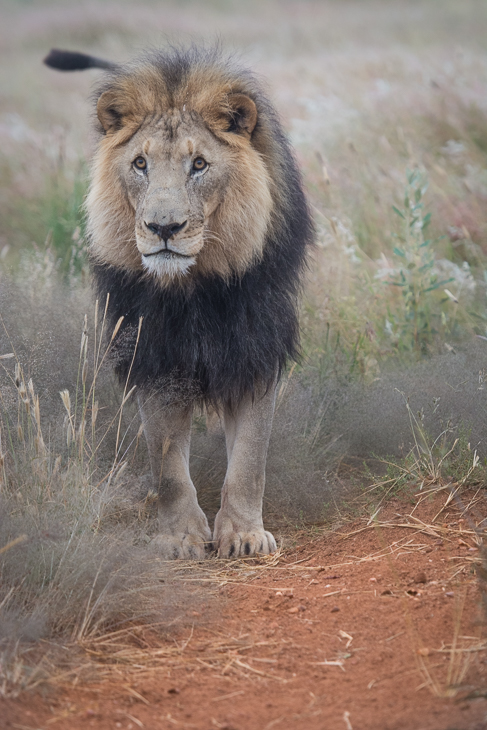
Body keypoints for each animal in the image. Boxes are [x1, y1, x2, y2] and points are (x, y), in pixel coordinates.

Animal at [43, 45, 314, 556]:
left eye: (200, 165)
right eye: (140, 164)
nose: (163, 228)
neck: (192, 289)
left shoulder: (254, 349)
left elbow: (249, 459)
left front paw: (243, 533)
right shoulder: (154, 355)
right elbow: (167, 464)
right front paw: (180, 537)